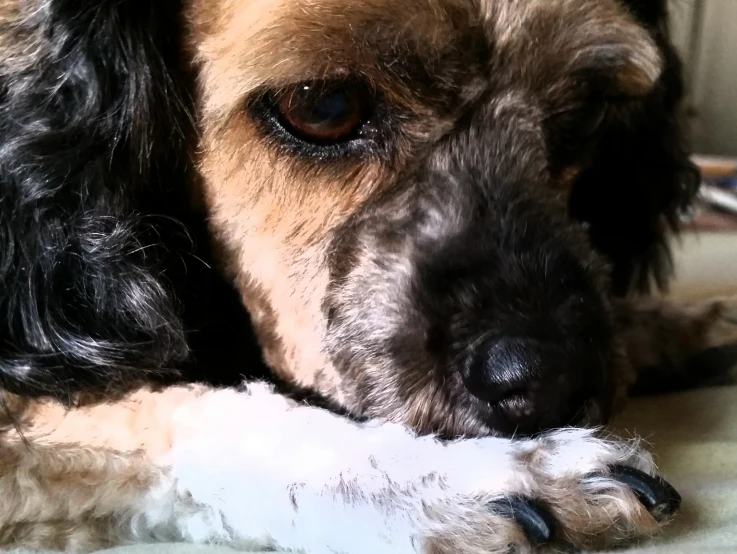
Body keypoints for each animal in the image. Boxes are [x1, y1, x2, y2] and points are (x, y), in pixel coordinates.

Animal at [1, 0, 736, 548]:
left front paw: (686, 325)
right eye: (322, 105)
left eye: (585, 110)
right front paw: (447, 478)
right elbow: (164, 418)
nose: (550, 382)